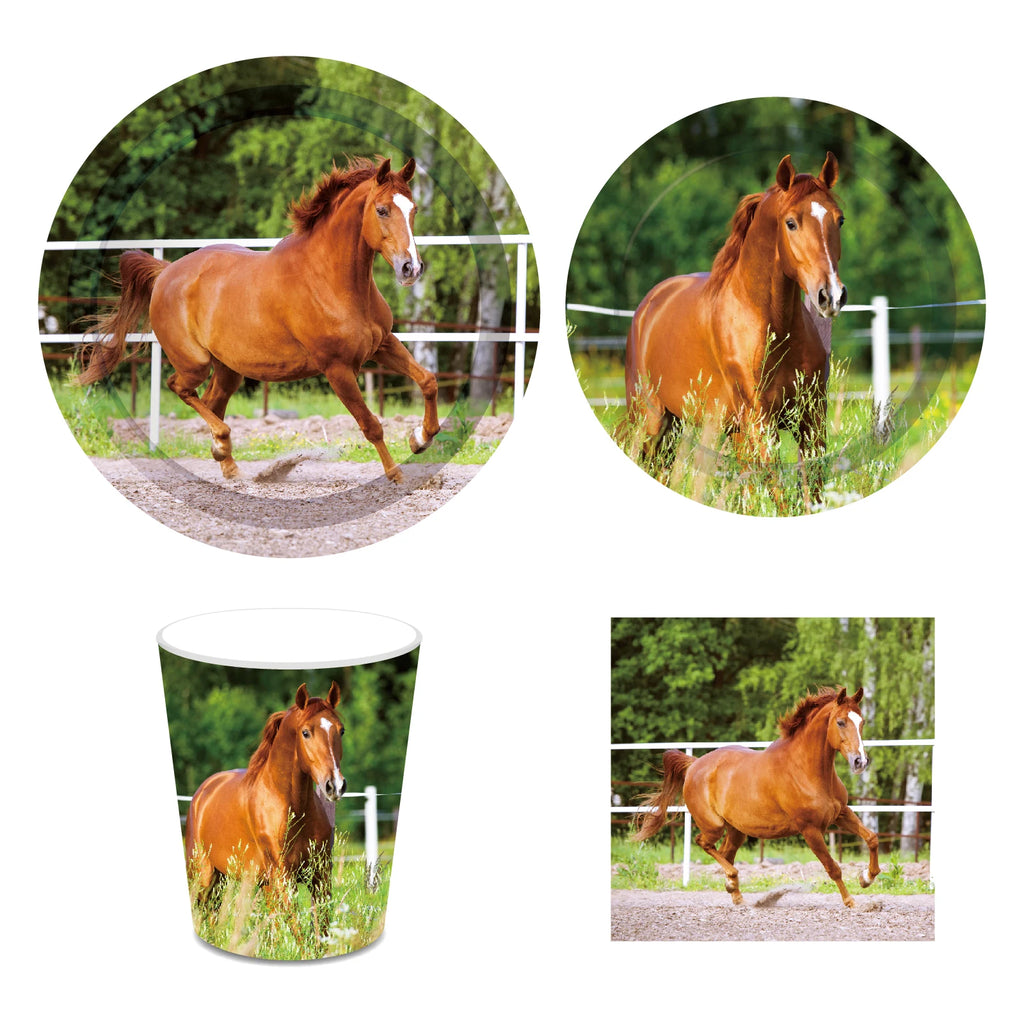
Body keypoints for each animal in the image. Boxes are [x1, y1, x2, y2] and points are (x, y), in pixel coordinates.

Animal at [78, 156, 439, 484]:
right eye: (382, 210)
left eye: (414, 210)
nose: (411, 268)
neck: (333, 282)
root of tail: (166, 272)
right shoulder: (337, 368)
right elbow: (371, 424)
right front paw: (395, 474)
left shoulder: (383, 344)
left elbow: (428, 380)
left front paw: (419, 439)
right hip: (194, 362)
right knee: (179, 387)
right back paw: (224, 443)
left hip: (228, 369)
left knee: (211, 401)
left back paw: (227, 463)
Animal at [185, 682, 346, 938]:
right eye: (306, 732)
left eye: (341, 731)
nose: (335, 785)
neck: (294, 809)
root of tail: (203, 791)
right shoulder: (283, 878)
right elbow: (298, 932)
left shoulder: (319, 876)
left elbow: (320, 931)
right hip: (204, 877)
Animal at [624, 153, 846, 495]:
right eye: (791, 223)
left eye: (840, 219)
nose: (831, 295)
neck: (774, 328)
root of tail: (649, 305)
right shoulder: (761, 423)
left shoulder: (811, 420)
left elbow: (811, 490)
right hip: (651, 421)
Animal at [631, 686, 880, 908]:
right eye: (841, 722)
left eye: (862, 722)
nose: (860, 762)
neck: (807, 771)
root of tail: (694, 765)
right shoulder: (810, 829)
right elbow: (833, 867)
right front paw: (851, 901)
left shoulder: (841, 813)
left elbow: (872, 838)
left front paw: (866, 877)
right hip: (714, 826)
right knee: (704, 843)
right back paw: (733, 879)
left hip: (736, 829)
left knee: (726, 853)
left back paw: (736, 893)